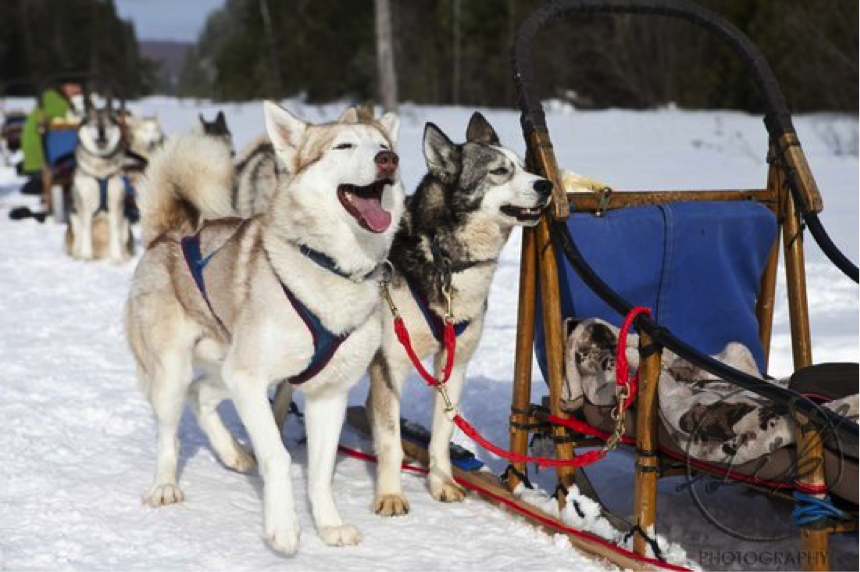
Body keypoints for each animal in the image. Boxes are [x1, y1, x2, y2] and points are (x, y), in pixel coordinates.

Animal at [67, 95, 132, 262]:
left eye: (108, 123)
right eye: (93, 123)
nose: (101, 132)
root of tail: (101, 253)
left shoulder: (116, 203)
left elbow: (115, 232)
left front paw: (117, 259)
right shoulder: (84, 203)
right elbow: (86, 230)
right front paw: (86, 256)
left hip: (126, 222)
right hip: (74, 218)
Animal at [126, 100, 404, 552]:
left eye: (385, 146)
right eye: (343, 145)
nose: (388, 160)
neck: (330, 266)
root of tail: (167, 234)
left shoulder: (328, 394)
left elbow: (321, 471)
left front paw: (328, 524)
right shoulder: (250, 378)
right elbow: (278, 455)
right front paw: (284, 526)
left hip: (227, 368)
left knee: (201, 396)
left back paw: (233, 453)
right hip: (177, 372)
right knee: (170, 431)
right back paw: (165, 485)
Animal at [362, 114, 552, 516]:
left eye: (524, 166)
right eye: (500, 171)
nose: (546, 184)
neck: (446, 261)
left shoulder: (455, 364)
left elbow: (442, 433)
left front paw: (442, 483)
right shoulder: (391, 363)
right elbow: (390, 439)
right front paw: (390, 494)